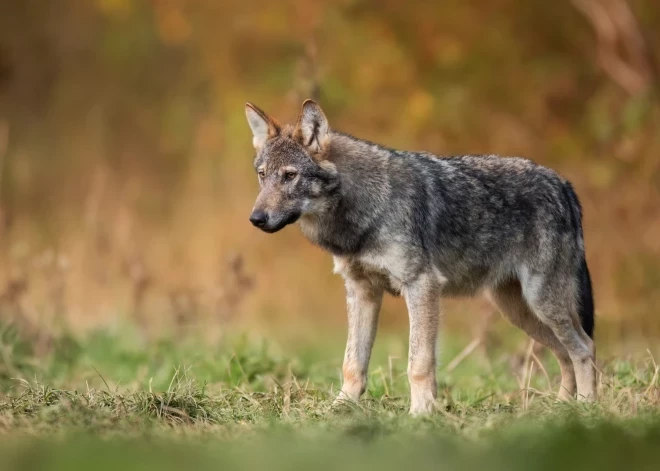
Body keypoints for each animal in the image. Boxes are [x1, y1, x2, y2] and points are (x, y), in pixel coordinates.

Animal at [245, 97, 596, 414]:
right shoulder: (361, 291)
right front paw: (339, 408)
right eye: (262, 175)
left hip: (541, 303)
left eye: (289, 176)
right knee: (566, 353)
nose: (256, 218)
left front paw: (421, 414)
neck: (365, 210)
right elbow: (352, 363)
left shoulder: (422, 286)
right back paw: (562, 407)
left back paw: (586, 407)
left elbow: (419, 363)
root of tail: (563, 184)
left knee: (584, 348)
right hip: (519, 311)